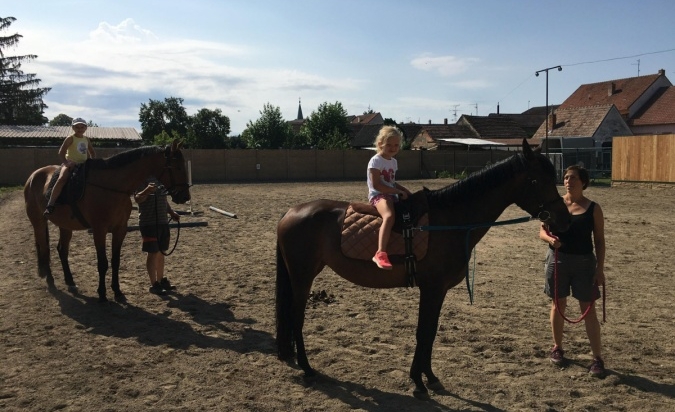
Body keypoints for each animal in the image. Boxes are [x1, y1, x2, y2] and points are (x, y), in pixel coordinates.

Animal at [24, 140, 190, 300]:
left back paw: (70, 282)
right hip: (39, 223)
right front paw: (102, 293)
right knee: (45, 250)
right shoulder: (99, 231)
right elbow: (102, 263)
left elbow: (115, 261)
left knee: (62, 251)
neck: (112, 186)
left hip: (65, 226)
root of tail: (33, 176)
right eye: (178, 167)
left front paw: (117, 291)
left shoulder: (120, 230)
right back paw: (51, 282)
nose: (185, 196)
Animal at [278, 138, 572, 400]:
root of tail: (291, 211)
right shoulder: (431, 288)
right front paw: (419, 383)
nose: (564, 219)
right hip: (302, 276)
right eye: (535, 181)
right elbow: (423, 332)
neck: (449, 221)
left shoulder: (438, 291)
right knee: (296, 317)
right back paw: (307, 368)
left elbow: (430, 332)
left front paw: (429, 378)